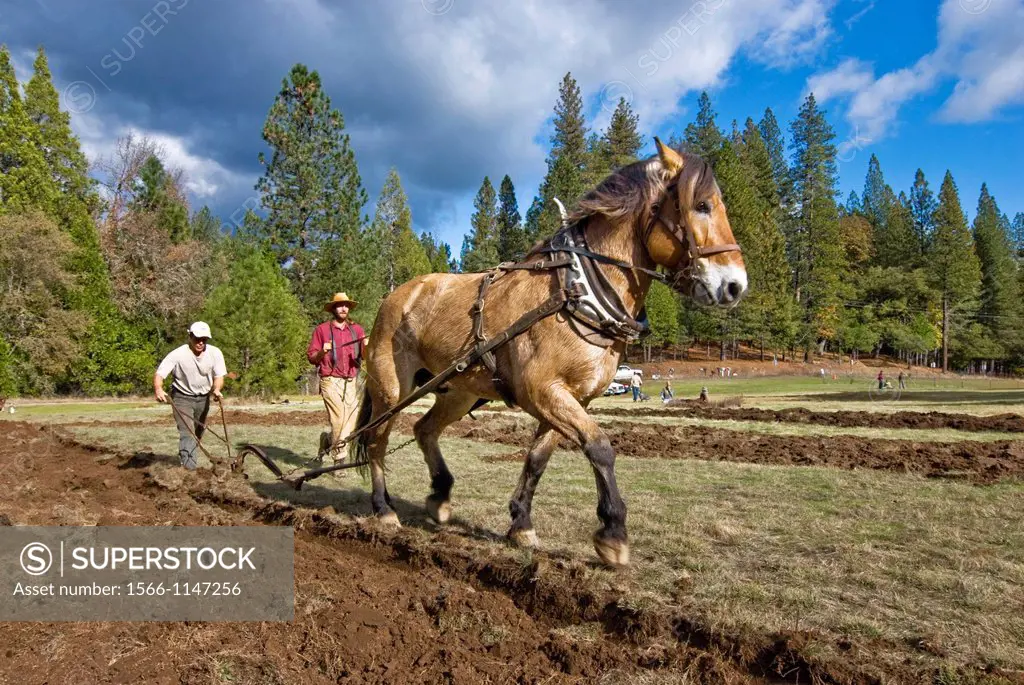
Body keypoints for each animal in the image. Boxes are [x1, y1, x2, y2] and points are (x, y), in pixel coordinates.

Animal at [352, 136, 745, 565]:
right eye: (701, 205)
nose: (735, 285)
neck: (576, 293)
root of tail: (396, 296)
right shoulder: (542, 391)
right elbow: (600, 447)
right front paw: (613, 532)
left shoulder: (573, 397)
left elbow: (538, 458)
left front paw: (521, 524)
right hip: (392, 388)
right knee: (376, 440)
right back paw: (383, 509)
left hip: (459, 392)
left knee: (424, 429)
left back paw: (440, 495)